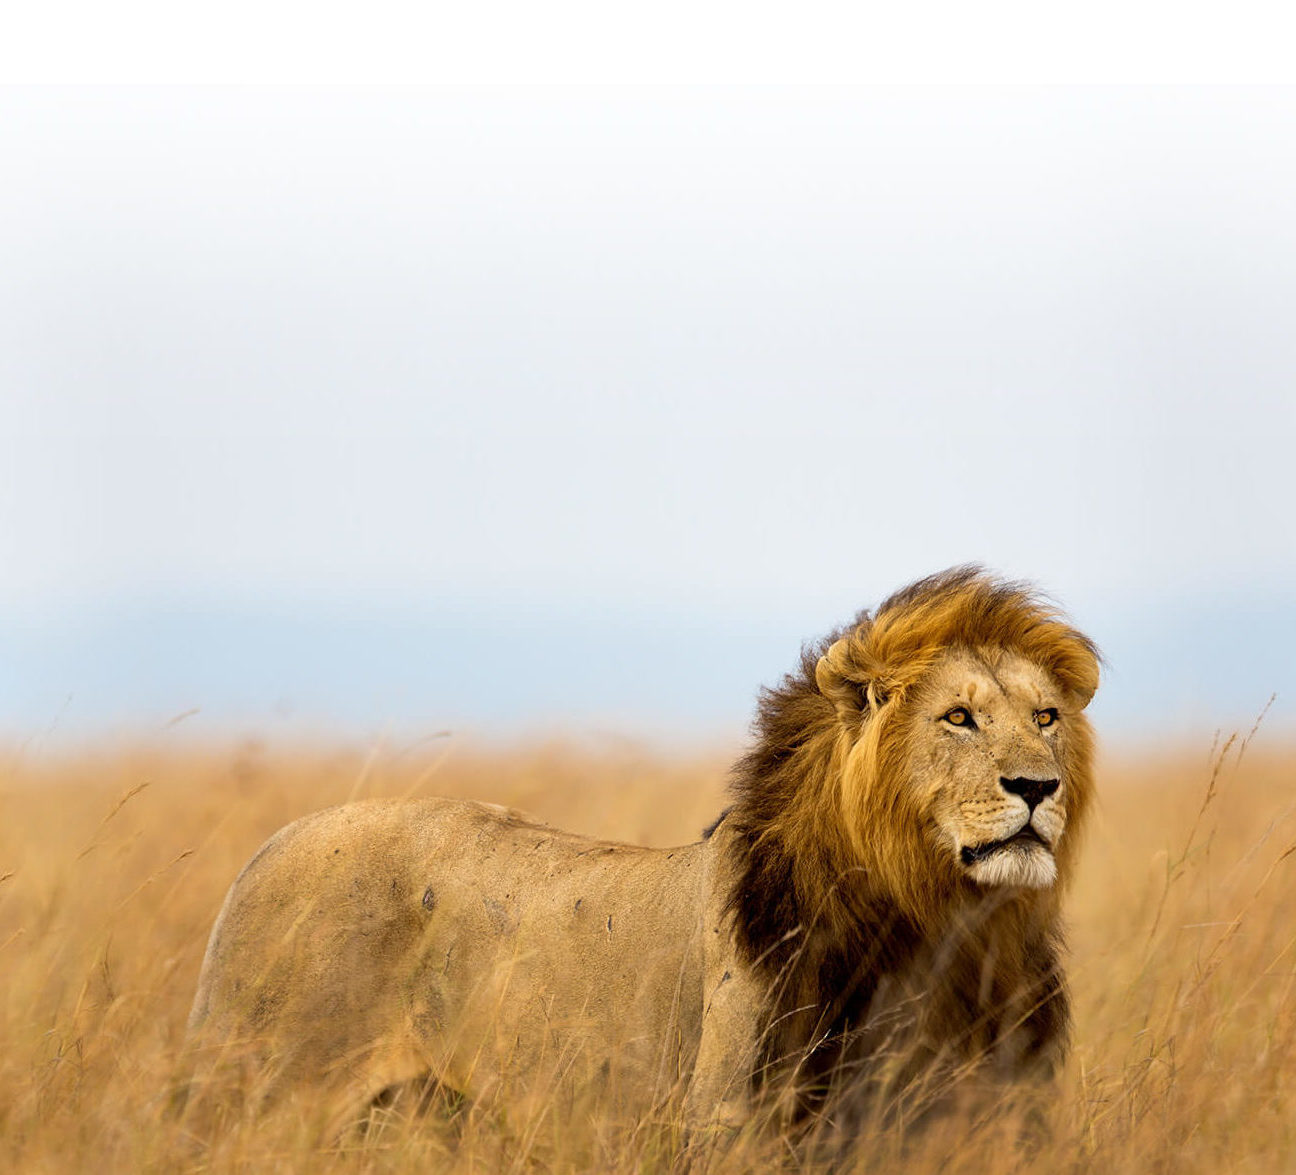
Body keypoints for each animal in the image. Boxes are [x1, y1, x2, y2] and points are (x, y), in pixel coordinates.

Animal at [184, 567, 1099, 1141]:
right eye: (959, 717)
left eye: (1046, 717)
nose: (1037, 786)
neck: (945, 927)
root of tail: (266, 848)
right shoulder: (736, 1120)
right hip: (258, 1096)